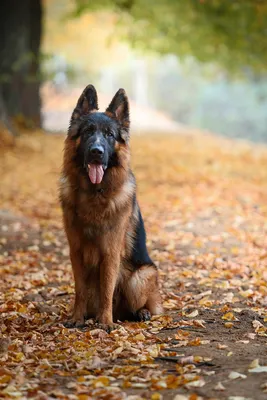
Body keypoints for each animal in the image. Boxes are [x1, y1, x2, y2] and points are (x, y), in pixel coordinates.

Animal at [59, 85, 162, 332]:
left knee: (138, 306)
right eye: (88, 131)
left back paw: (139, 313)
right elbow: (80, 290)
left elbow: (106, 288)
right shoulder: (76, 251)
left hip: (140, 276)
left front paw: (105, 322)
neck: (94, 193)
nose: (96, 151)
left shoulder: (110, 252)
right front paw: (77, 318)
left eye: (109, 135)